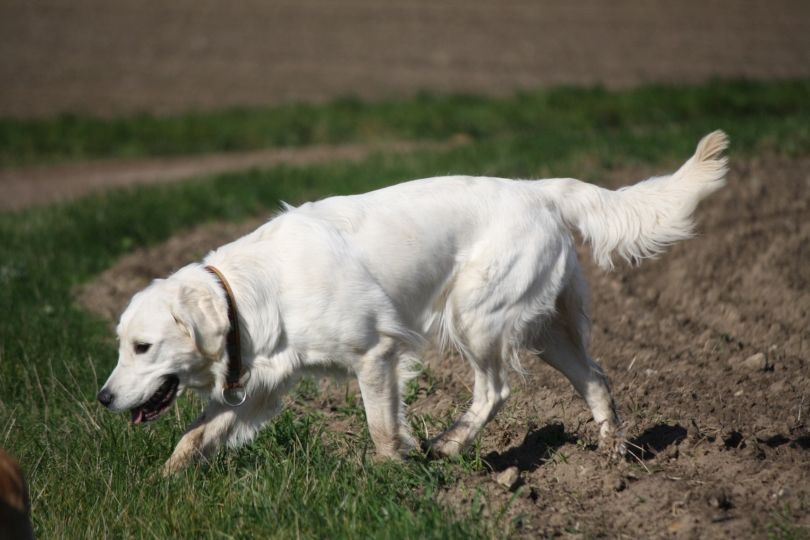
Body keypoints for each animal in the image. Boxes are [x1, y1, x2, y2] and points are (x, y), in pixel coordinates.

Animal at [98, 131, 728, 474]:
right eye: (123, 345)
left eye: (143, 346)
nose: (103, 397)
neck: (255, 291)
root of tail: (540, 188)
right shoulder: (266, 385)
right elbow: (194, 436)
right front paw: (162, 483)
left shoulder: (374, 353)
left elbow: (381, 426)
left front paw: (393, 468)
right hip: (544, 328)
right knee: (596, 377)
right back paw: (612, 453)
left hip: (477, 316)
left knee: (494, 391)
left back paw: (449, 444)